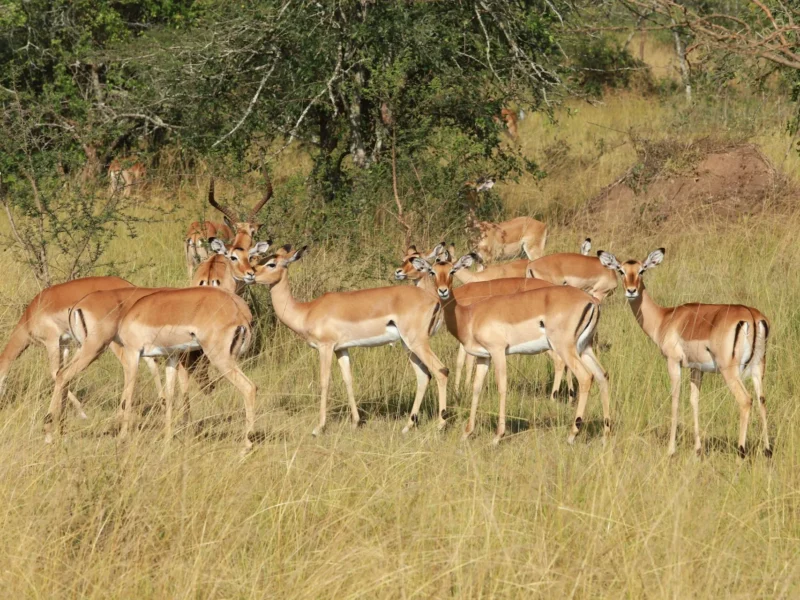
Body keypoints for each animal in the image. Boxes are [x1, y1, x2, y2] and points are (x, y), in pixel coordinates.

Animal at [243, 246, 449, 436]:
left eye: (271, 263)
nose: (250, 275)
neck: (307, 311)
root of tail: (435, 301)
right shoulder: (341, 349)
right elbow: (348, 379)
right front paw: (356, 422)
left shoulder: (325, 347)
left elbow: (324, 381)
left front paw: (319, 428)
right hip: (408, 345)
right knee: (423, 375)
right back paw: (407, 427)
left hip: (417, 342)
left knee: (441, 370)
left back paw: (440, 425)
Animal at [413, 253, 610, 445]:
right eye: (432, 271)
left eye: (452, 271)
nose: (443, 291)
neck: (468, 316)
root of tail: (591, 301)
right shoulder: (484, 357)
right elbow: (476, 388)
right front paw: (467, 433)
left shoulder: (498, 351)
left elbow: (502, 386)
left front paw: (497, 436)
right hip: (584, 348)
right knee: (602, 375)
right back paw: (605, 434)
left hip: (565, 348)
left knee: (585, 377)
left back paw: (572, 434)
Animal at [598, 248, 771, 458]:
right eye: (621, 270)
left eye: (642, 270)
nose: (631, 291)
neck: (665, 318)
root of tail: (751, 316)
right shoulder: (697, 369)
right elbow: (694, 401)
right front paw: (698, 450)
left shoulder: (673, 362)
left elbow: (675, 400)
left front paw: (671, 450)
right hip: (758, 368)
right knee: (762, 400)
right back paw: (768, 451)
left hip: (730, 371)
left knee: (746, 401)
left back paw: (741, 453)